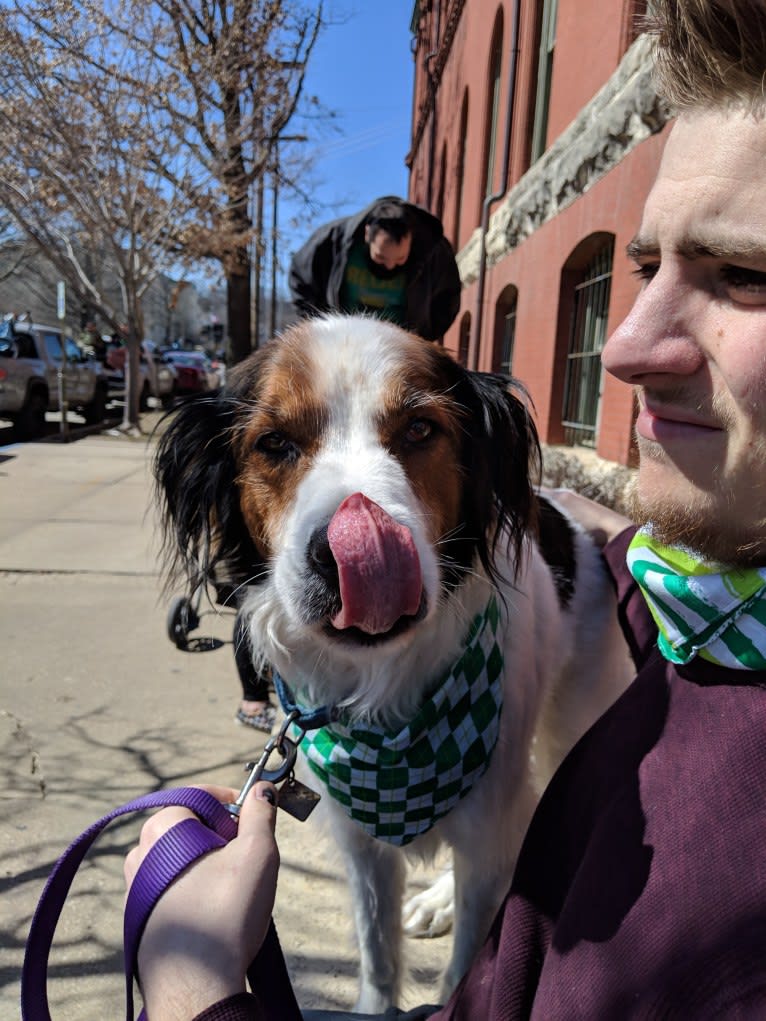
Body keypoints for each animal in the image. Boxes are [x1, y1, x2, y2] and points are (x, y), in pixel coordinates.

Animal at [153, 312, 633, 1012]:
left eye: (420, 429)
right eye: (273, 443)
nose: (352, 557)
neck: (390, 700)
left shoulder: (489, 811)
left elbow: (473, 956)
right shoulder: (362, 843)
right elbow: (378, 952)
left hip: (569, 728)